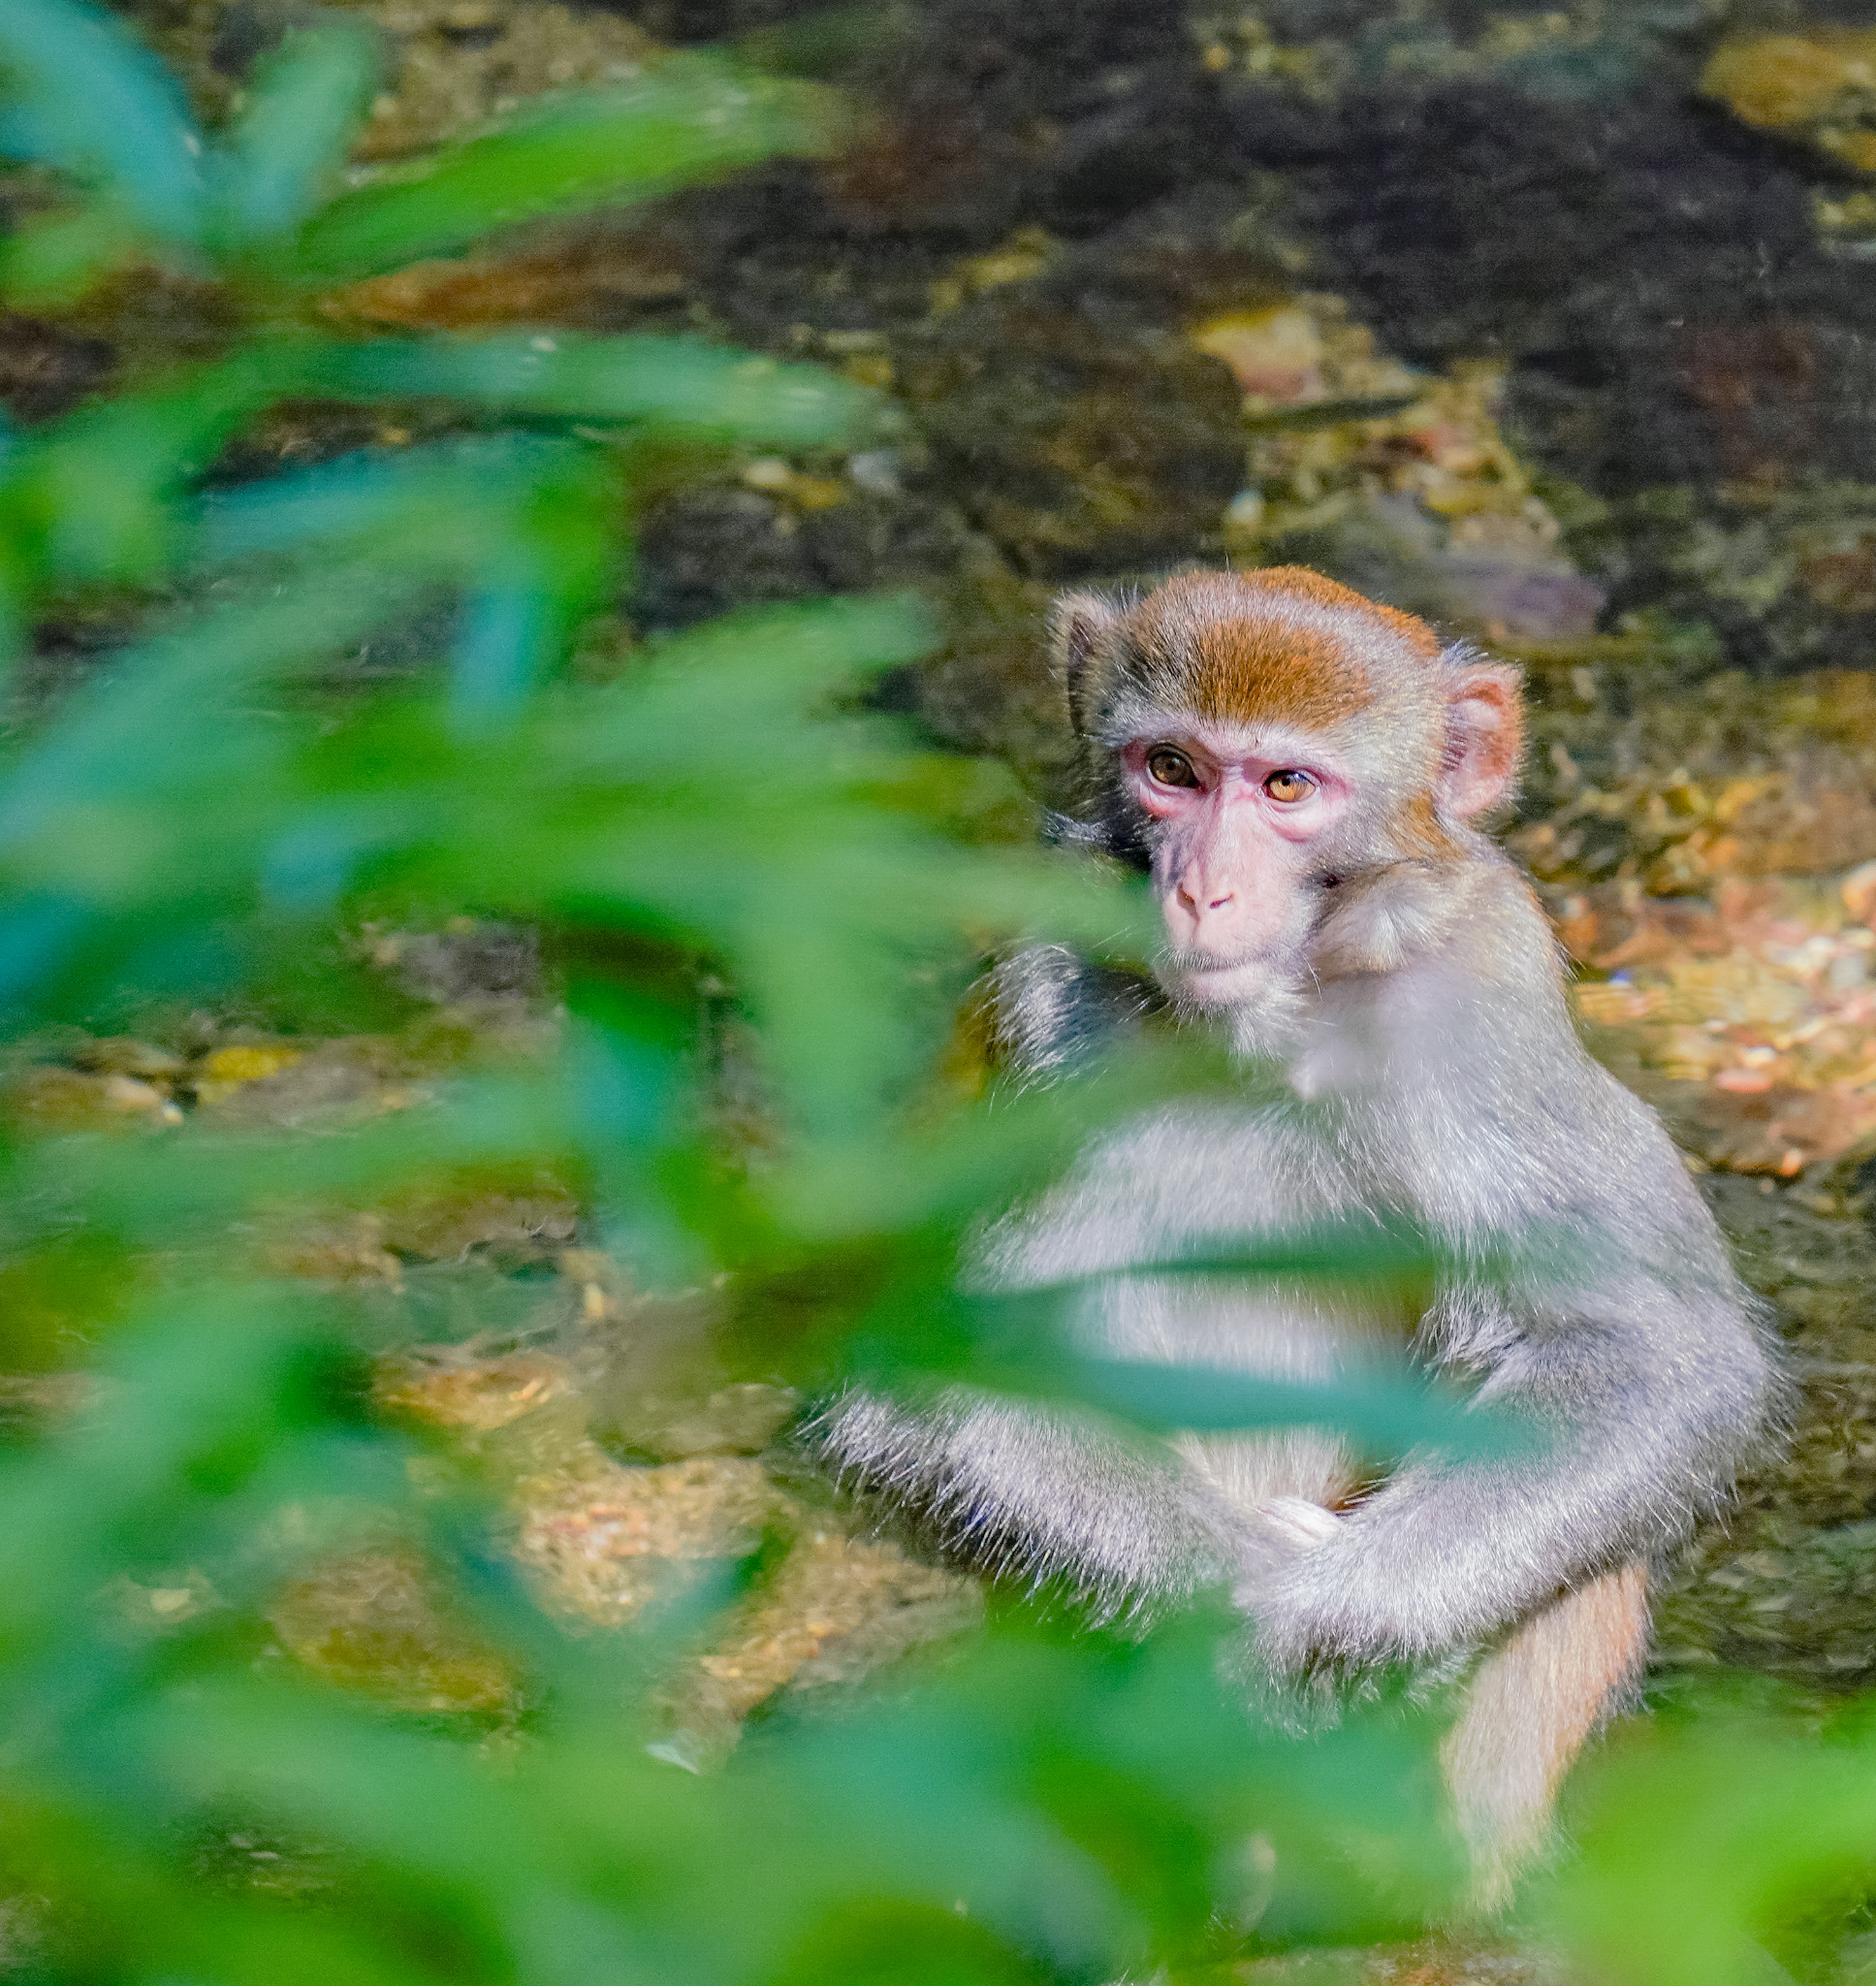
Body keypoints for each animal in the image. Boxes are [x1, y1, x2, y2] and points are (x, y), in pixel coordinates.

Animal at [817, 563, 1770, 1906]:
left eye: (1285, 788)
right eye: (1171, 767)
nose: (1200, 888)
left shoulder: (1484, 1006)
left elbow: (1653, 1356)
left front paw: (1314, 1622)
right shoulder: (1046, 999)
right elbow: (939, 1374)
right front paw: (1237, 1603)